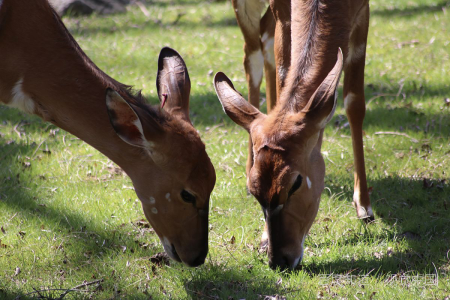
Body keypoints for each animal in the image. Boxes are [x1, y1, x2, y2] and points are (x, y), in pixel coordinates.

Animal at [214, 0, 372, 270]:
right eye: (255, 190)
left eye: (295, 183)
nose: (280, 260)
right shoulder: (283, 12)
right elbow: (283, 76)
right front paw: (263, 238)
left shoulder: (363, 13)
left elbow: (354, 103)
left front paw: (363, 206)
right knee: (253, 54)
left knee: (263, 40)